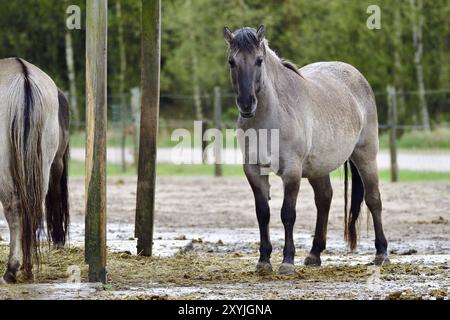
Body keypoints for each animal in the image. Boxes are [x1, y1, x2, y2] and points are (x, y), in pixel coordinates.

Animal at [0, 57, 69, 282]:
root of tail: (24, 76)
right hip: (44, 163)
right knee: (34, 207)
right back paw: (27, 268)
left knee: (15, 208)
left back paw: (12, 269)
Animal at [223, 25, 388, 276]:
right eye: (232, 62)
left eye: (259, 60)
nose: (246, 104)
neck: (273, 115)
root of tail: (356, 75)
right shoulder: (253, 170)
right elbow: (263, 214)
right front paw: (264, 261)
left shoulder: (291, 171)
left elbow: (287, 214)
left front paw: (287, 262)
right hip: (318, 167)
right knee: (324, 199)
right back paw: (314, 254)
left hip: (366, 156)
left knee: (373, 199)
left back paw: (381, 253)